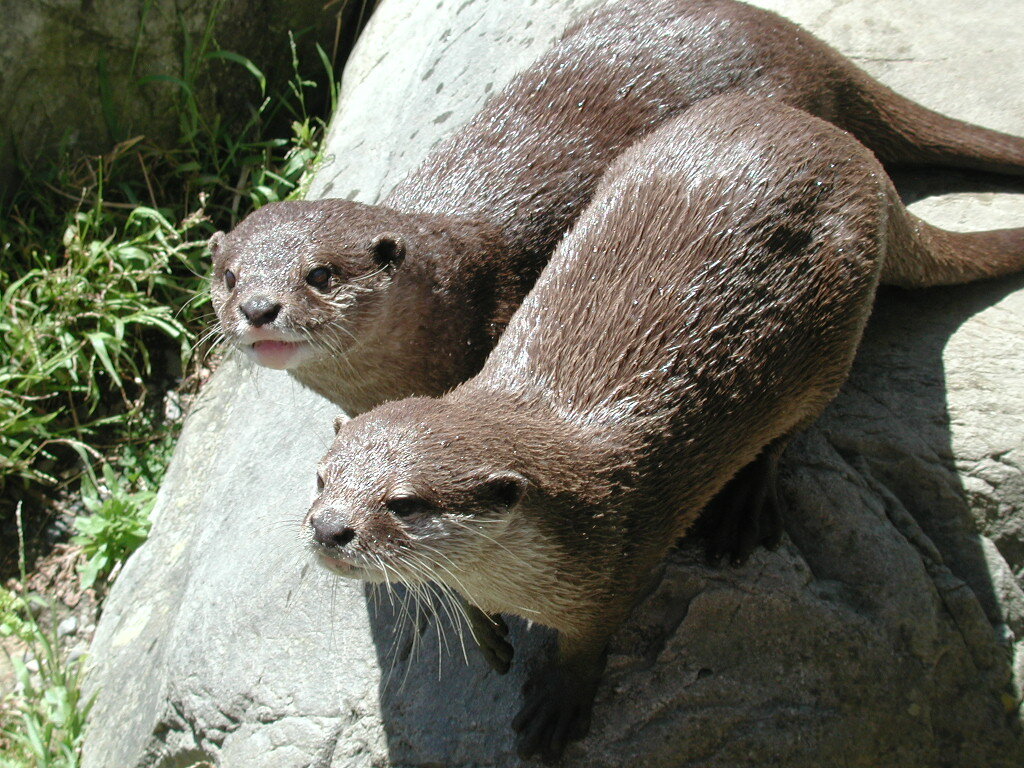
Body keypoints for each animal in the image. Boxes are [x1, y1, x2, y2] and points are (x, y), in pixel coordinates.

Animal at [303, 95, 1024, 761]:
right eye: (320, 479)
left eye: (404, 503)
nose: (328, 528)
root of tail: (856, 154)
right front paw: (484, 633)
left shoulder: (618, 559)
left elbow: (591, 640)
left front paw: (559, 701)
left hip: (832, 333)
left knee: (792, 426)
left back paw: (743, 507)